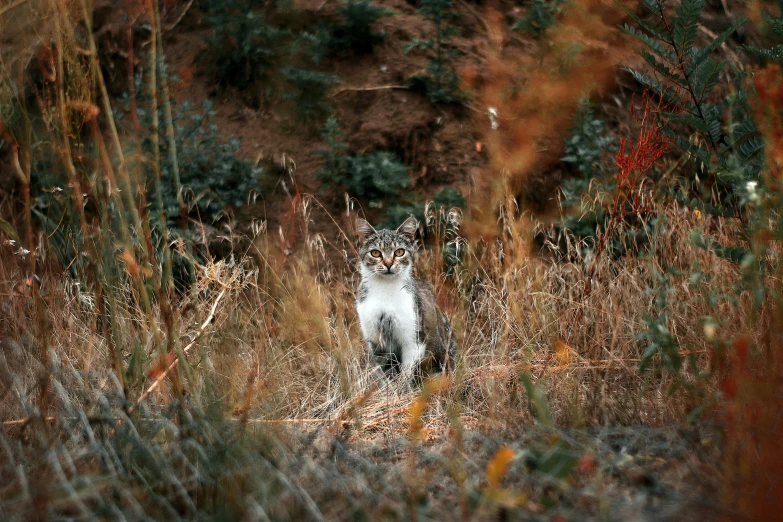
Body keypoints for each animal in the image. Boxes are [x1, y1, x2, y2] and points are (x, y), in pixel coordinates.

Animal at [354, 213, 456, 376]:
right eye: (375, 253)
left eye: (399, 252)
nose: (388, 264)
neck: (385, 289)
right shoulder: (375, 338)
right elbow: (383, 372)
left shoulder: (414, 337)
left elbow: (407, 372)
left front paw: (404, 383)